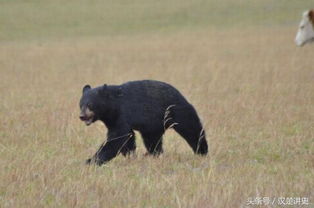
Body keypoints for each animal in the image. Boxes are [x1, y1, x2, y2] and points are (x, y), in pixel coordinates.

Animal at [78, 80, 207, 166]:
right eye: (80, 105)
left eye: (90, 105)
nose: (82, 116)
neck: (113, 106)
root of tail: (181, 95)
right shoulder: (112, 119)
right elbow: (127, 138)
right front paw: (130, 155)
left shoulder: (122, 113)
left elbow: (117, 138)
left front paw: (91, 161)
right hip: (154, 124)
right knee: (153, 140)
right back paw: (152, 154)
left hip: (176, 111)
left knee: (192, 129)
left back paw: (202, 151)